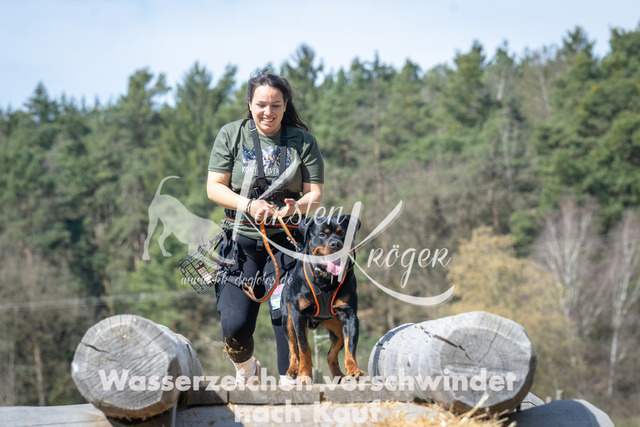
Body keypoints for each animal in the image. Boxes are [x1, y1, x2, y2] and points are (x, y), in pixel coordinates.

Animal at [280, 214, 363, 384]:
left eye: (343, 233)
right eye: (322, 235)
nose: (336, 243)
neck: (326, 280)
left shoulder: (350, 314)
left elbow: (350, 345)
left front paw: (354, 370)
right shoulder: (298, 314)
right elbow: (303, 348)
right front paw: (304, 375)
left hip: (336, 326)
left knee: (331, 354)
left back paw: (340, 377)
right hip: (288, 318)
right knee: (292, 347)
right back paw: (293, 369)